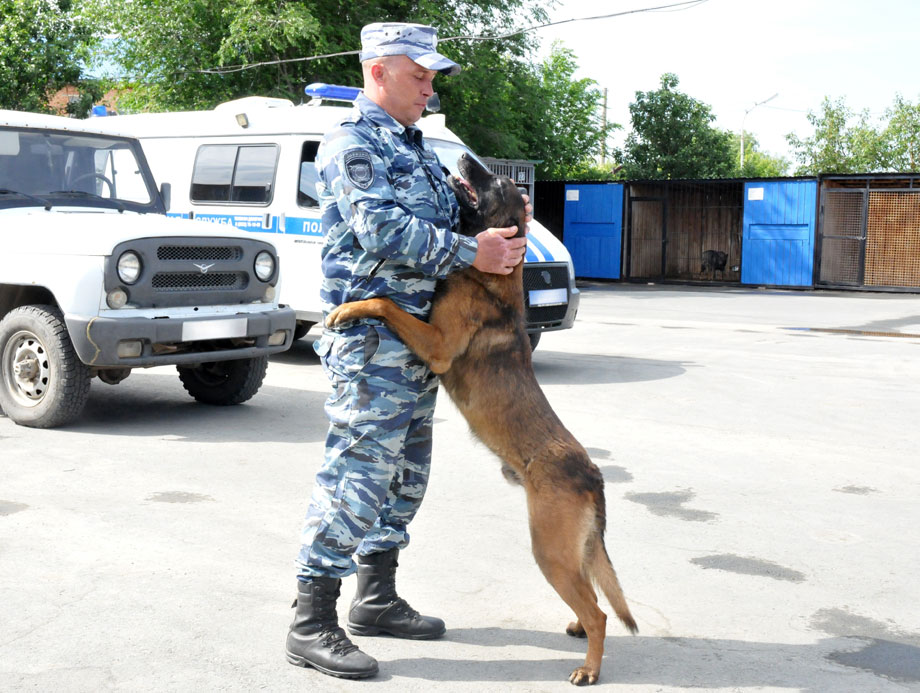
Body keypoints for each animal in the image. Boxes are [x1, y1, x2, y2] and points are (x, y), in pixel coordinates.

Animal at [328, 154, 636, 684]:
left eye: (494, 182)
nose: (468, 158)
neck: (488, 270)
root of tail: (593, 473)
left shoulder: (436, 346)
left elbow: (384, 301)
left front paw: (348, 308)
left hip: (548, 551)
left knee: (599, 611)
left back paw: (589, 668)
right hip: (569, 552)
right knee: (591, 593)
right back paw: (578, 630)